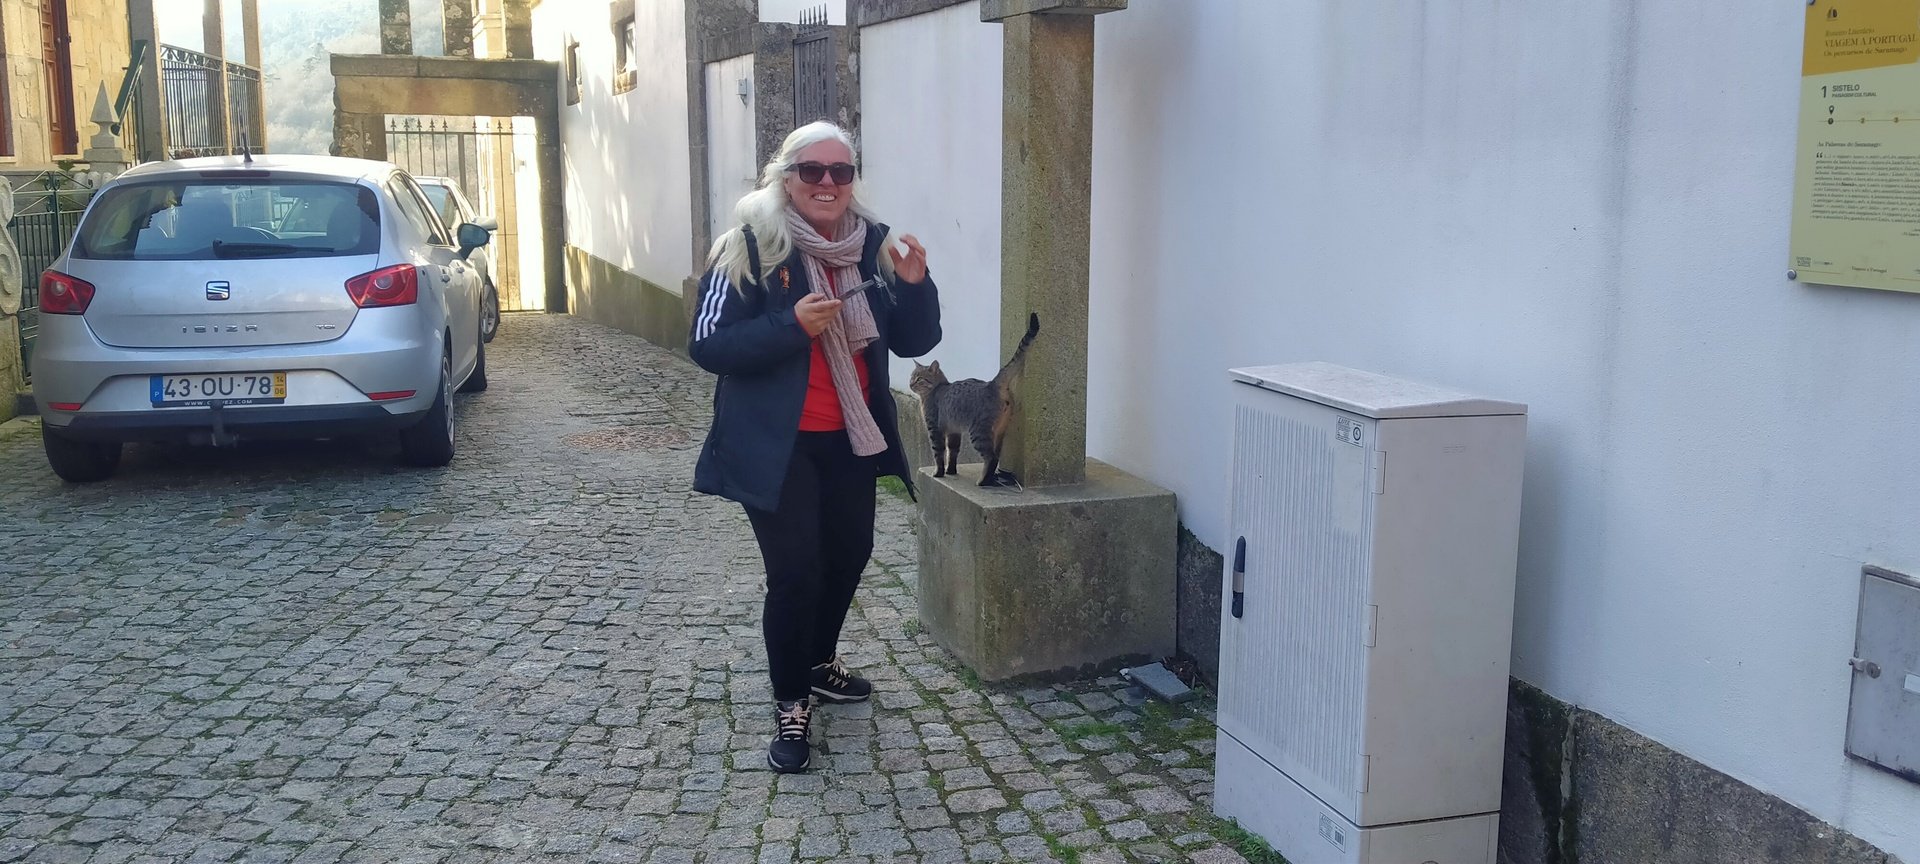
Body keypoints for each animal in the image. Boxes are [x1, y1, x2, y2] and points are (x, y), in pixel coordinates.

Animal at [909, 313, 1041, 488]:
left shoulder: (935, 429)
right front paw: (951, 471)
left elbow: (939, 454)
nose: (910, 384)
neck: (937, 389)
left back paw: (983, 481)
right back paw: (989, 479)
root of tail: (992, 384)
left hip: (978, 432)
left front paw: (939, 473)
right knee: (995, 457)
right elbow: (953, 452)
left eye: (919, 379)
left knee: (990, 457)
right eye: (911, 377)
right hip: (999, 432)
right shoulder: (954, 430)